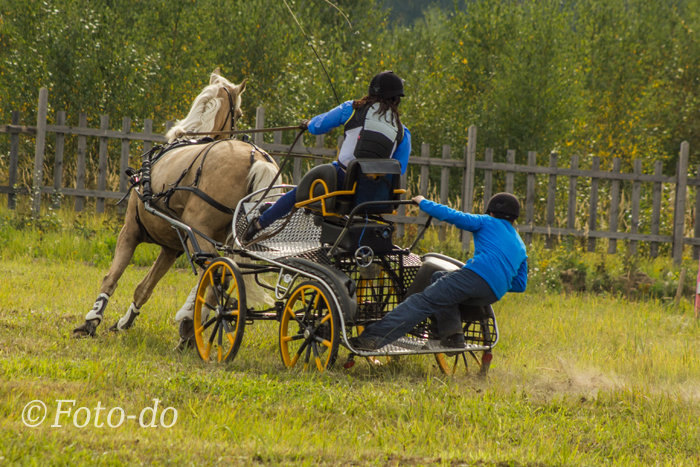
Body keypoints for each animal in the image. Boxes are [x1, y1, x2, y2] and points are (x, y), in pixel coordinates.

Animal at [72, 69, 276, 338]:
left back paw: (193, 323)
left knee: (216, 275)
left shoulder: (131, 230)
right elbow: (144, 288)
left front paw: (91, 319)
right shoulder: (172, 247)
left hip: (197, 231)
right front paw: (125, 321)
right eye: (240, 114)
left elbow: (112, 276)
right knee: (221, 275)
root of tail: (256, 158)